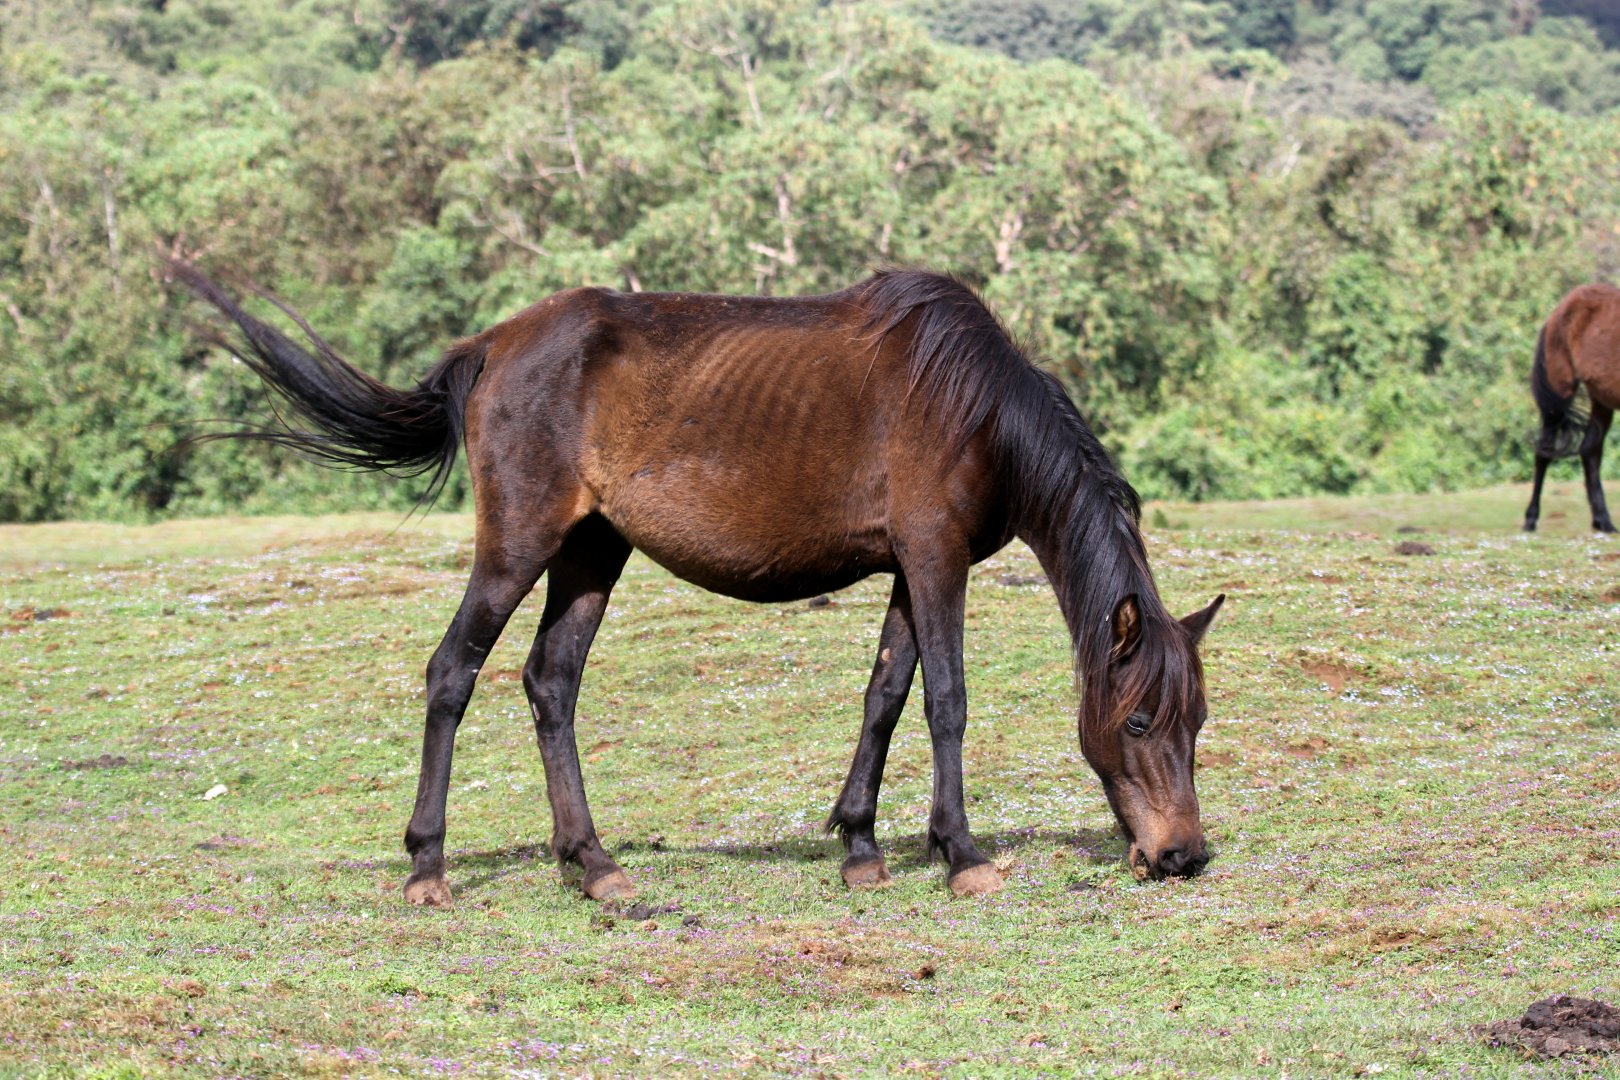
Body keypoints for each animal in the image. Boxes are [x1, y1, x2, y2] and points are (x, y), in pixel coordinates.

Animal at [170, 262, 1224, 906]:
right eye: (1138, 721)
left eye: (1196, 721)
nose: (1182, 855)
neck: (975, 405)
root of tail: (496, 344)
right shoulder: (933, 558)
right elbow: (946, 701)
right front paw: (961, 855)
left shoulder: (910, 566)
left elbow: (885, 695)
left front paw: (860, 846)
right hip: (519, 544)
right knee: (450, 674)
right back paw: (428, 866)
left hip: (591, 553)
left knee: (551, 683)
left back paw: (593, 865)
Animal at [1524, 283, 1620, 534]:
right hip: (1558, 395)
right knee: (1544, 452)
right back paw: (1530, 519)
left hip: (1601, 400)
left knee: (1589, 450)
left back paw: (1603, 521)